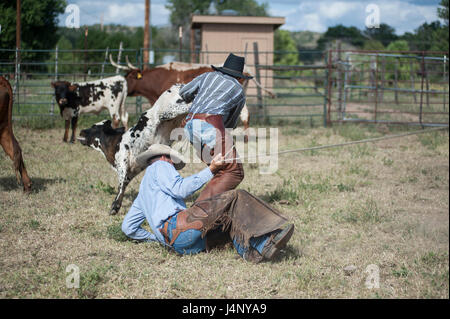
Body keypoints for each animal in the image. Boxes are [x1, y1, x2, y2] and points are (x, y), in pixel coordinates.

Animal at [78, 84, 191, 215]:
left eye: (93, 127)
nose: (81, 131)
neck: (115, 141)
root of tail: (178, 85)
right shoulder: (130, 173)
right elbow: (123, 187)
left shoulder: (122, 164)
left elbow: (120, 186)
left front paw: (114, 207)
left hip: (169, 111)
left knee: (189, 105)